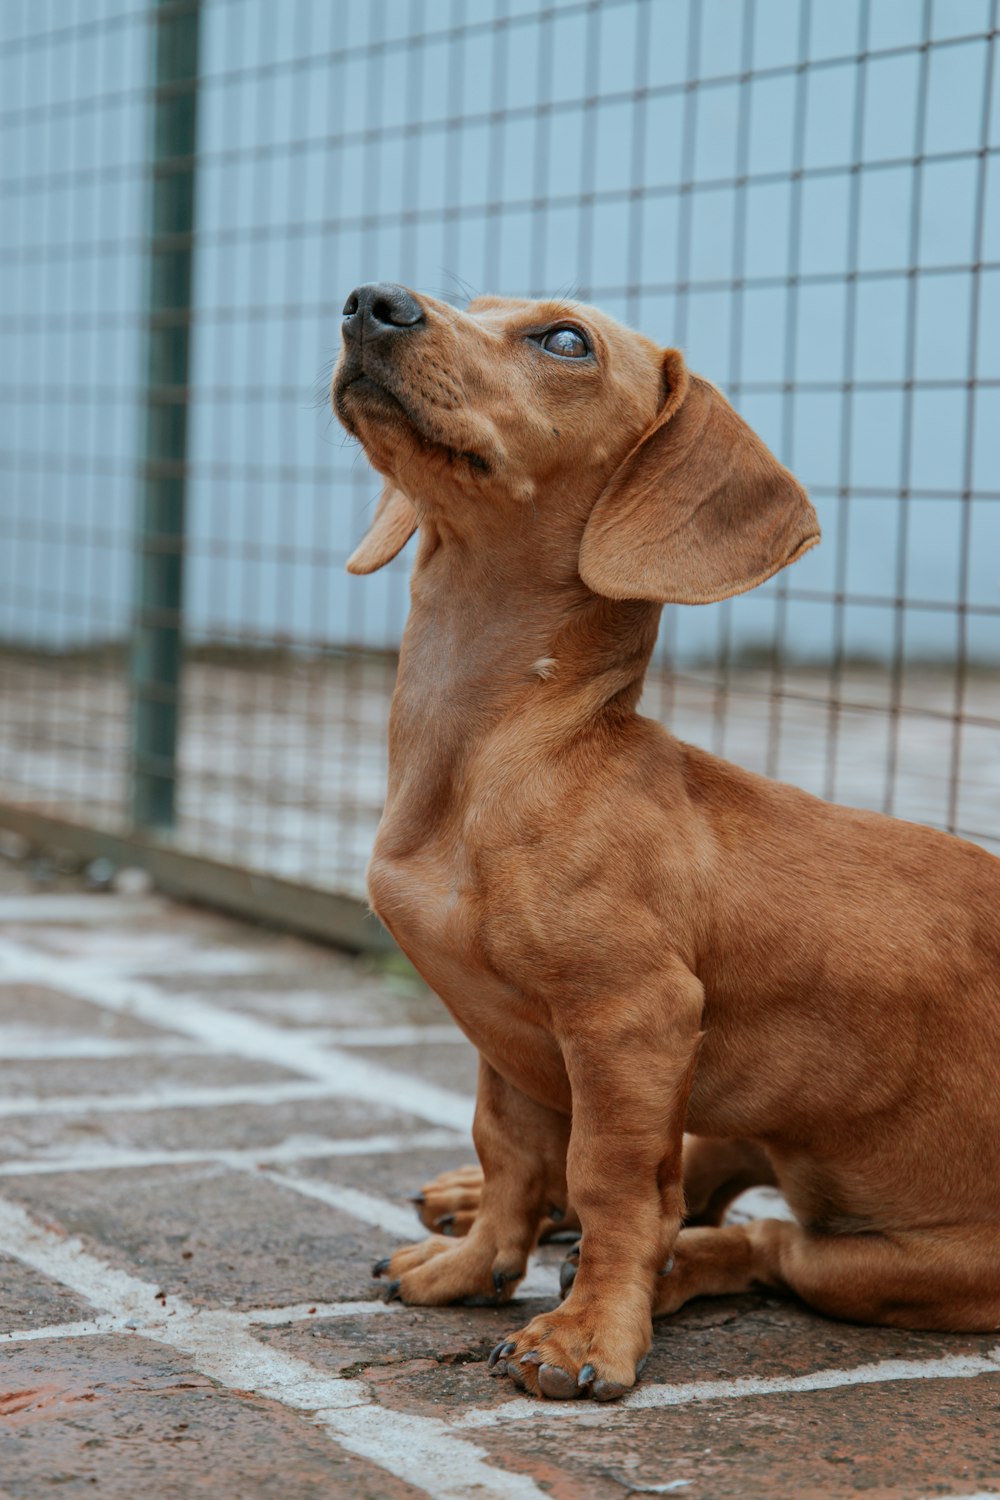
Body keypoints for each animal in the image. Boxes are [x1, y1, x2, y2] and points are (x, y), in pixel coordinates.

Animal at [335, 283, 1000, 1404]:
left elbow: (610, 1183)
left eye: (566, 339)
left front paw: (587, 1335)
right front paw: (476, 1265)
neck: (511, 755)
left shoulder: (629, 1020)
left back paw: (662, 1268)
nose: (368, 304)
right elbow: (514, 1153)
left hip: (889, 1264)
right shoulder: (503, 1030)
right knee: (693, 1189)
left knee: (755, 1242)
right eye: (471, 302)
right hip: (728, 1120)